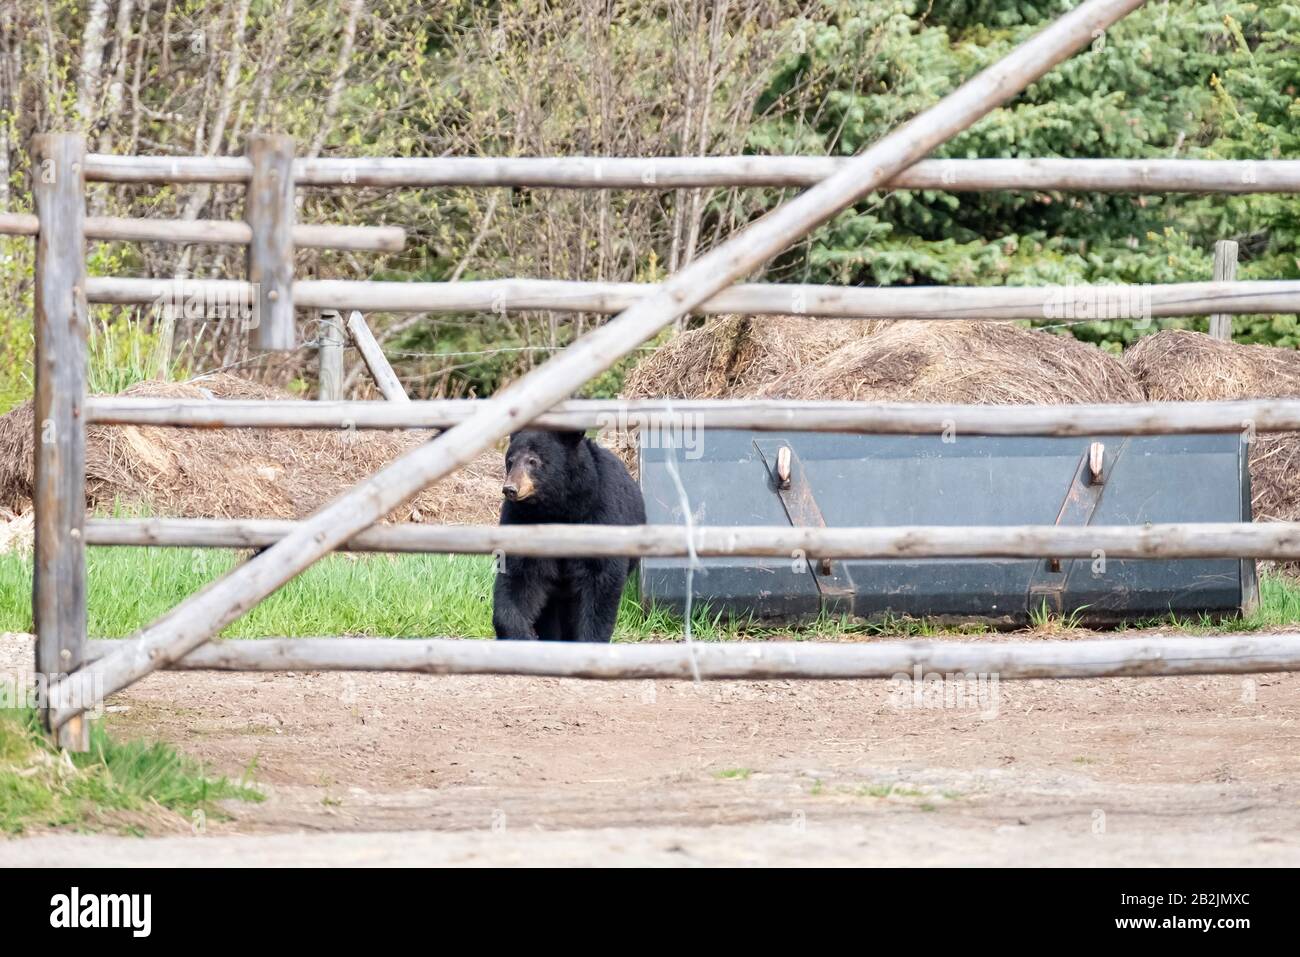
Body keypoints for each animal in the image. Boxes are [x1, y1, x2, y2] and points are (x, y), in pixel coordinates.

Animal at [492, 429, 646, 643]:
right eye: (510, 460)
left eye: (533, 461)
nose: (510, 488)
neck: (558, 509)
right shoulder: (520, 519)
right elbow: (518, 576)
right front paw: (519, 634)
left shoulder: (600, 511)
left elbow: (601, 580)